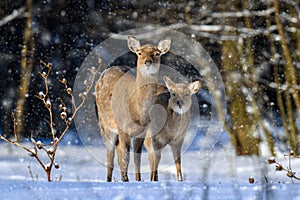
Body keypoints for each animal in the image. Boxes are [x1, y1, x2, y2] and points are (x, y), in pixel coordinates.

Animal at [95, 35, 171, 181]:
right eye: (140, 53)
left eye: (157, 53)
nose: (148, 62)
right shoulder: (122, 127)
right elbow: (126, 156)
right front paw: (126, 180)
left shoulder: (142, 131)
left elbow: (137, 157)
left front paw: (138, 180)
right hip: (105, 124)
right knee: (110, 153)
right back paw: (109, 179)